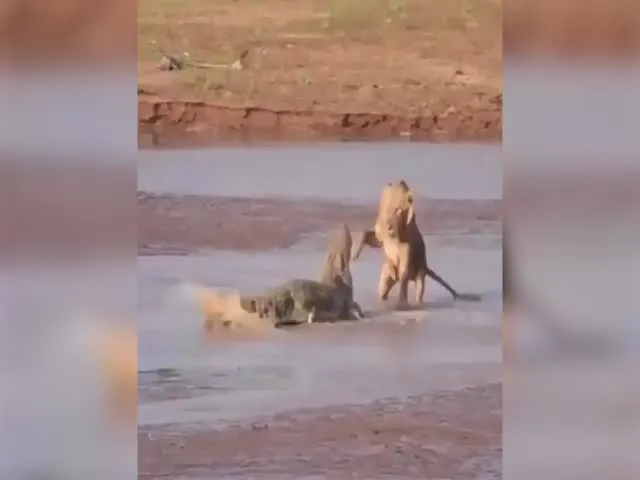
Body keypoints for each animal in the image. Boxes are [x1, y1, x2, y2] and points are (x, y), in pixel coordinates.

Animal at [350, 180, 460, 308]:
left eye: (399, 211)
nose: (401, 181)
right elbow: (374, 240)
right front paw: (354, 257)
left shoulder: (408, 244)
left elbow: (404, 269)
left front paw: (402, 303)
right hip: (387, 273)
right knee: (383, 287)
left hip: (420, 268)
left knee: (419, 287)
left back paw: (415, 303)